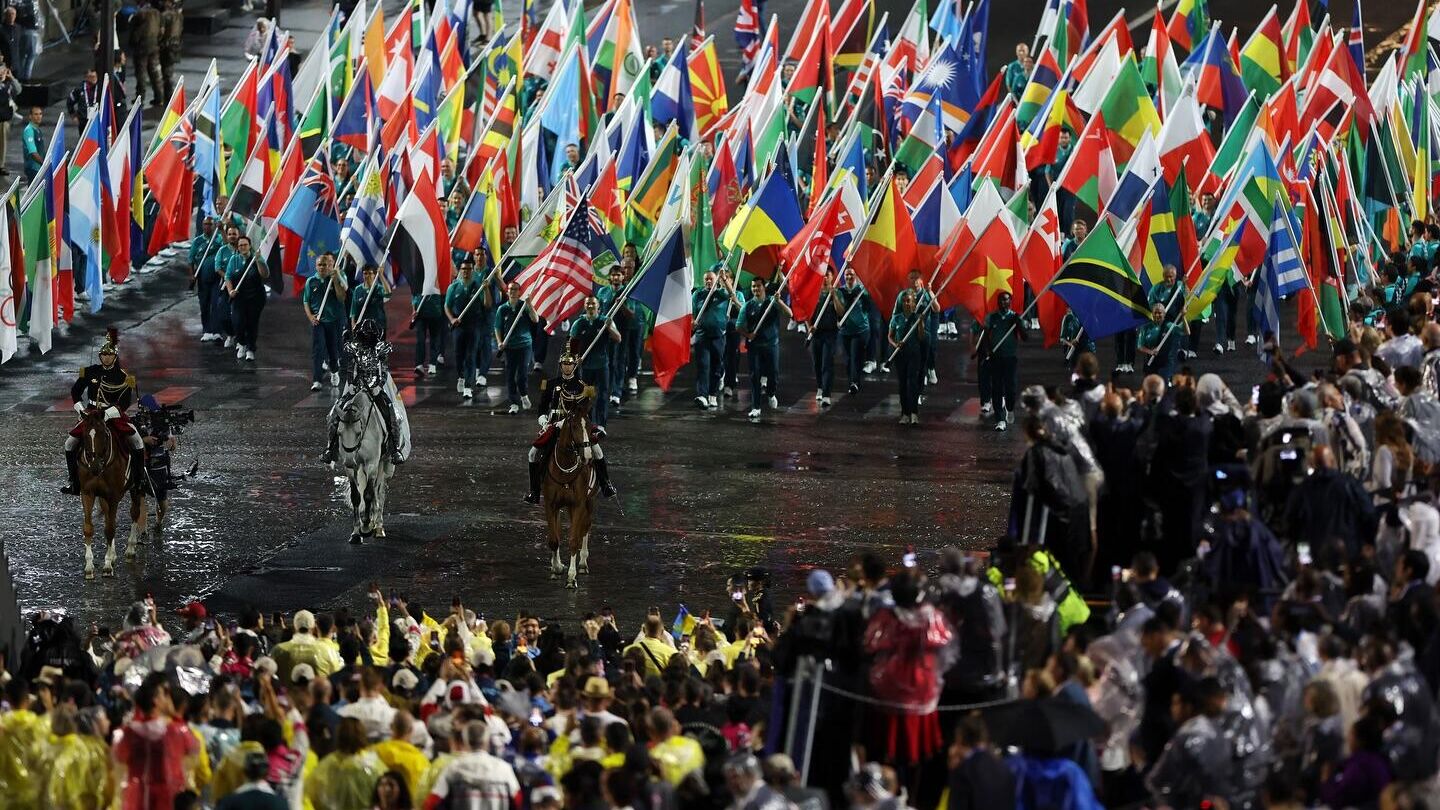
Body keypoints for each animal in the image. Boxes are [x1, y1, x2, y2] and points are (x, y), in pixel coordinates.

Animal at [73, 406, 141, 576]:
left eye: (103, 434)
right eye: (85, 434)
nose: (95, 466)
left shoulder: (113, 496)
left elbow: (110, 529)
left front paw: (107, 565)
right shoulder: (87, 493)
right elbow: (89, 528)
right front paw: (89, 566)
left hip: (136, 488)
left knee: (134, 513)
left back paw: (130, 548)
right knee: (108, 517)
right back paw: (114, 554)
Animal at [329, 383, 391, 541]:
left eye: (358, 433)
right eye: (339, 433)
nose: (350, 461)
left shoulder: (371, 464)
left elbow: (368, 494)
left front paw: (366, 526)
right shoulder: (351, 469)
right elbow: (356, 496)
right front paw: (356, 533)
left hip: (383, 463)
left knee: (379, 491)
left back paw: (378, 527)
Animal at [547, 392, 599, 585]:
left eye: (590, 426)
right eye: (575, 425)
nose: (588, 456)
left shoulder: (579, 504)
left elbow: (574, 539)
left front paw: (571, 576)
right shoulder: (551, 505)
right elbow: (554, 538)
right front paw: (556, 567)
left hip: (589, 502)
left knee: (585, 528)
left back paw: (582, 563)